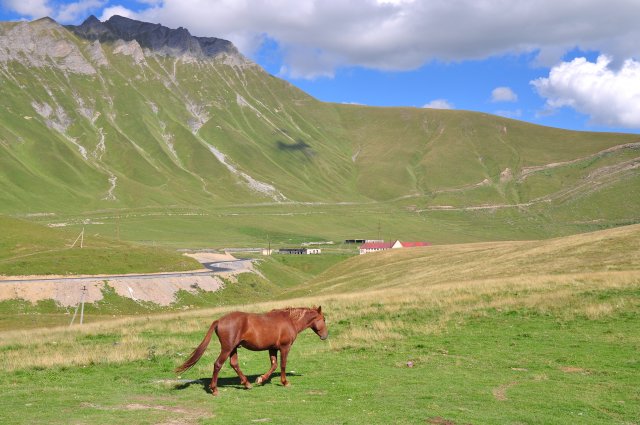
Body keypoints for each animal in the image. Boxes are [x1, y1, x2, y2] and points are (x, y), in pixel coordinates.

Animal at [174, 304, 328, 394]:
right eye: (324, 319)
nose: (325, 336)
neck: (289, 320)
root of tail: (219, 321)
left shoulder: (272, 349)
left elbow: (274, 365)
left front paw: (261, 379)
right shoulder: (285, 348)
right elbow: (283, 365)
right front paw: (285, 382)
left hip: (233, 349)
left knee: (234, 364)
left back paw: (247, 384)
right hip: (227, 349)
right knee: (218, 364)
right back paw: (214, 389)